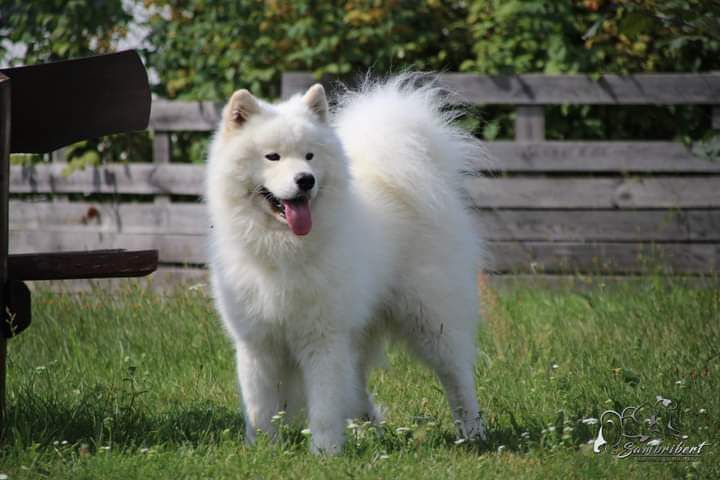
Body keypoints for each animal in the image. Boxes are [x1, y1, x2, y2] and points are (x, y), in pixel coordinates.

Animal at [207, 75, 490, 454]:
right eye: (272, 156)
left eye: (309, 156)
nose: (306, 179)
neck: (283, 249)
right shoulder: (257, 342)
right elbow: (260, 407)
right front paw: (264, 451)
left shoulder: (324, 338)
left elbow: (325, 405)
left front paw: (325, 453)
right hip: (361, 332)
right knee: (357, 389)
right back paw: (366, 430)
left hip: (432, 323)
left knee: (458, 381)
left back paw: (473, 433)